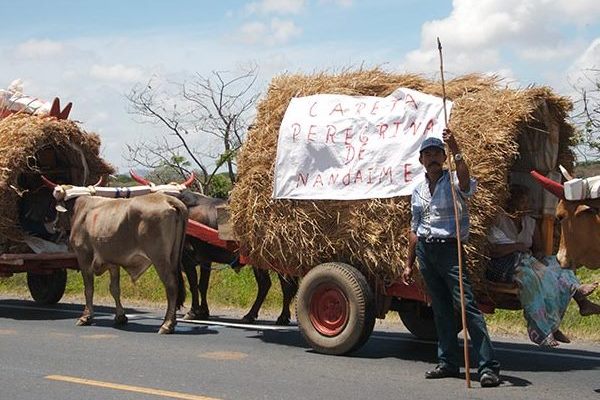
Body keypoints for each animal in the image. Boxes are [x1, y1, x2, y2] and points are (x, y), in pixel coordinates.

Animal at [43, 177, 188, 332]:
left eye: (56, 205)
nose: (55, 226)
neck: (80, 209)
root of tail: (169, 199)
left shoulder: (84, 257)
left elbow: (88, 288)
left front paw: (86, 317)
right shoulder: (112, 261)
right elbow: (115, 289)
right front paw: (120, 317)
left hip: (159, 258)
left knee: (171, 285)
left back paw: (167, 324)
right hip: (174, 257)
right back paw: (172, 322)